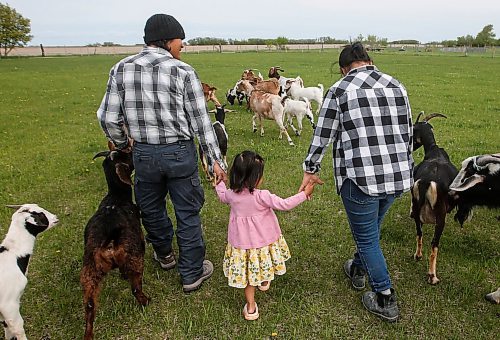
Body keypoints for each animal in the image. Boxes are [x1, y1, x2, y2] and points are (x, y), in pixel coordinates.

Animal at [81, 149, 148, 340]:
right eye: (128, 155)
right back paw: (146, 301)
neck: (116, 197)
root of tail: (108, 241)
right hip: (136, 257)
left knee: (89, 305)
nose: (132, 149)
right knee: (135, 288)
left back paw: (88, 335)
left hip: (89, 273)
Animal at [408, 111, 458, 284]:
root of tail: (427, 182)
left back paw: (418, 255)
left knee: (419, 232)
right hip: (440, 216)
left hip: (418, 209)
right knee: (434, 244)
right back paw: (432, 276)